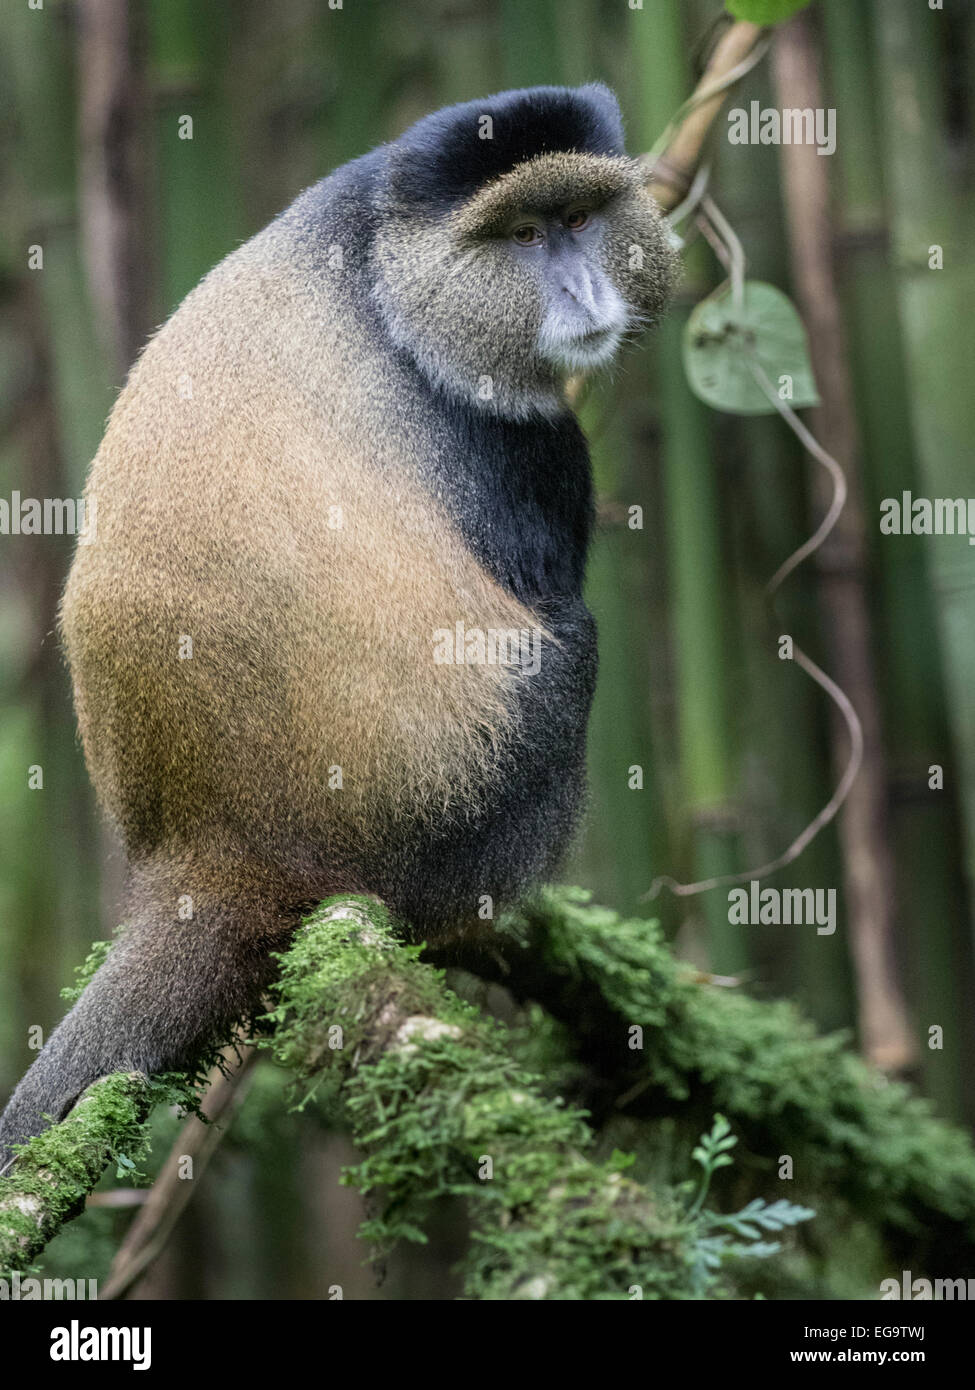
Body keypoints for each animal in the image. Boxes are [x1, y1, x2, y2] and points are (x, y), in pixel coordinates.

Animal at [0, 84, 675, 1161]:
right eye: (525, 234)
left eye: (578, 218)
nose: (581, 295)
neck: (384, 267)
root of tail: (216, 852)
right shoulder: (517, 445)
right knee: (567, 655)